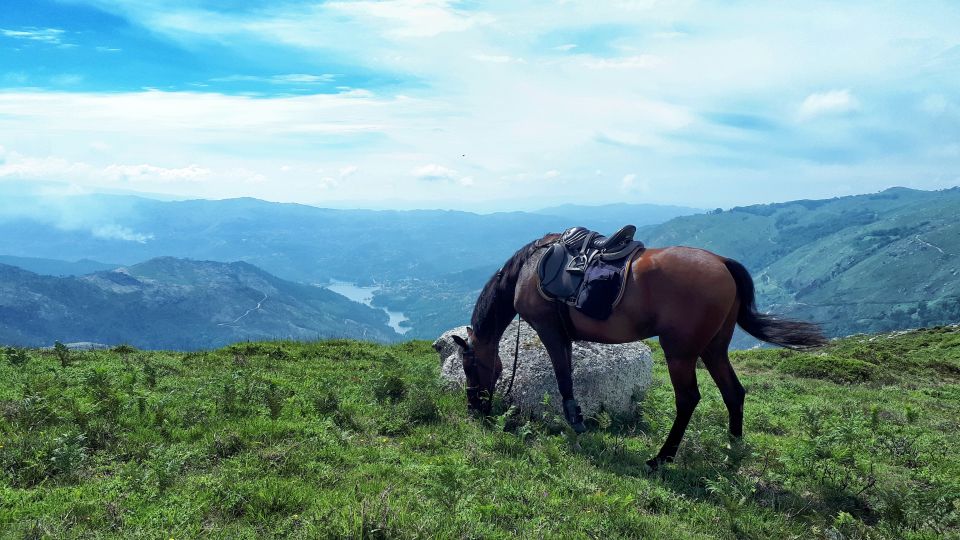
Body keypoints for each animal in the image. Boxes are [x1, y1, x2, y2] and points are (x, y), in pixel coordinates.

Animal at [450, 234, 824, 470]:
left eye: (469, 367)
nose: (473, 409)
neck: (529, 269)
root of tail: (722, 262)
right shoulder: (564, 335)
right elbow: (567, 372)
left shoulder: (549, 329)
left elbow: (563, 377)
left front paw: (576, 422)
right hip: (714, 347)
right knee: (734, 392)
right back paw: (732, 451)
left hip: (680, 351)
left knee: (688, 398)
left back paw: (662, 458)